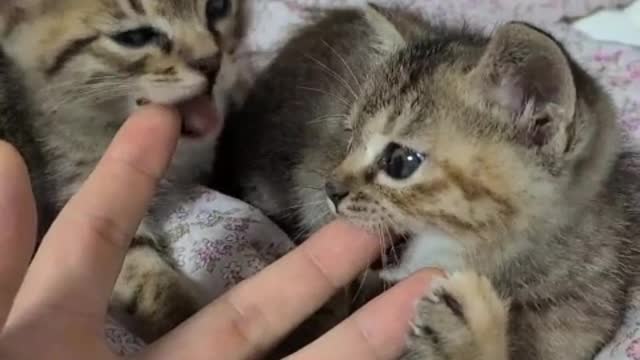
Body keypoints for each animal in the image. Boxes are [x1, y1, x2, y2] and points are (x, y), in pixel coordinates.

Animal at [0, 0, 248, 340]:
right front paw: (185, 315)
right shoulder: (69, 192)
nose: (212, 62)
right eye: (135, 37)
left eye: (218, 7)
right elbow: (140, 270)